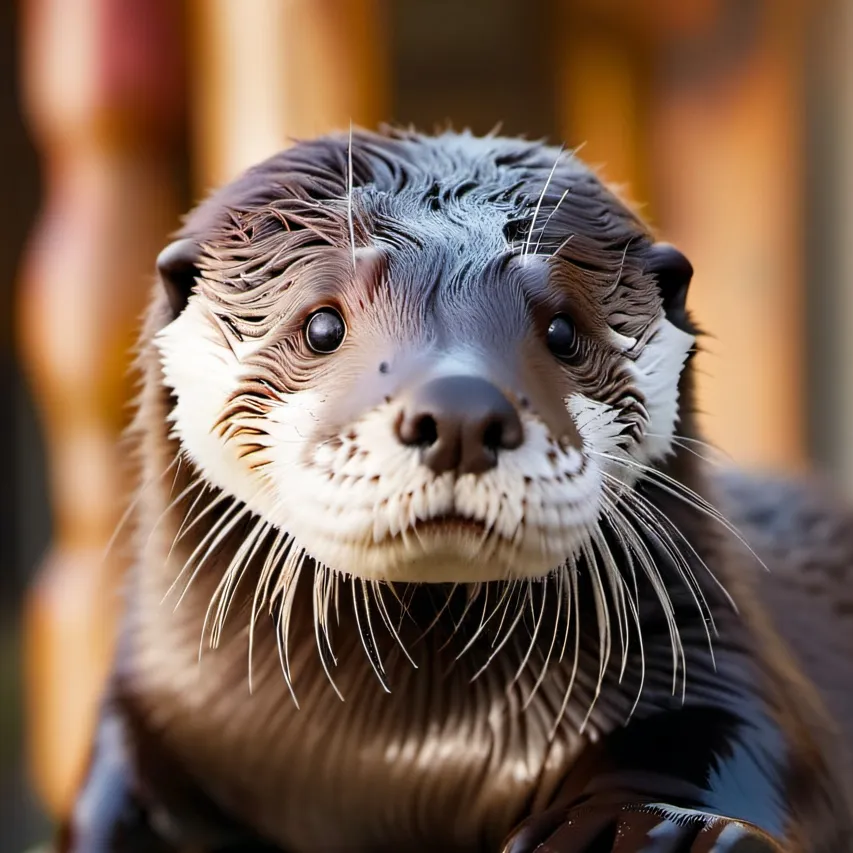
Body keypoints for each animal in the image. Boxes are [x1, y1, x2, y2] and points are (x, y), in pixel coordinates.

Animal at [58, 128, 853, 853]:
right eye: (322, 324)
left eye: (563, 330)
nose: (462, 412)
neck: (400, 755)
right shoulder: (148, 707)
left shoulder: (716, 662)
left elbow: (723, 745)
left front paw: (642, 829)